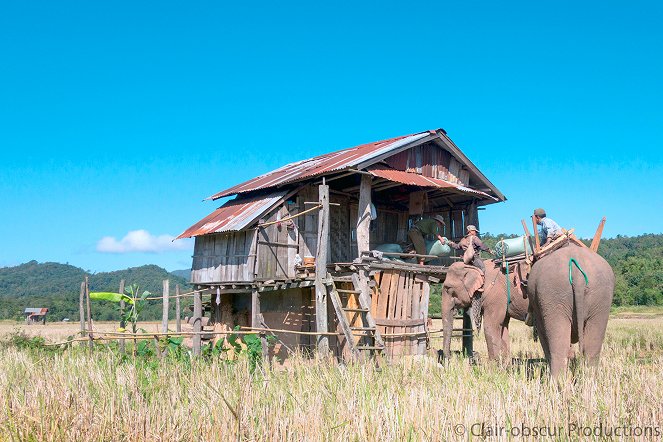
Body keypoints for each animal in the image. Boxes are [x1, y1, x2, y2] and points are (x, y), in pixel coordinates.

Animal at [528, 242, 616, 376]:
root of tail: (577, 273)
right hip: (602, 296)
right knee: (591, 348)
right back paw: (589, 379)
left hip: (553, 294)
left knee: (559, 347)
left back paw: (556, 381)